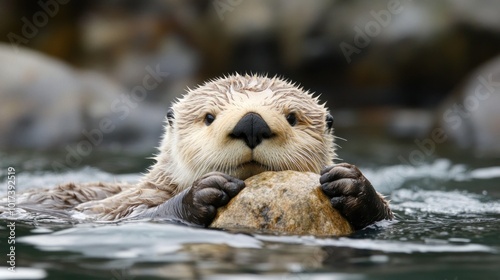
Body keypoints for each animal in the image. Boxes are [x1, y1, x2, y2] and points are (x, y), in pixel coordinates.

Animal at [10, 74, 390, 230]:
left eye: (292, 117)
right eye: (209, 117)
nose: (252, 123)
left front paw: (351, 185)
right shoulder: (116, 206)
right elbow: (137, 213)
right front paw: (204, 193)